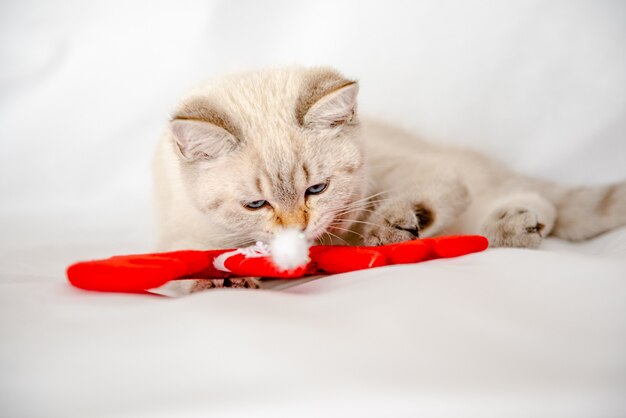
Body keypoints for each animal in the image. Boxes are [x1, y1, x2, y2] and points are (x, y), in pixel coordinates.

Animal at [154, 68, 624, 264]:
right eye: (256, 205)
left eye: (316, 189)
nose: (297, 229)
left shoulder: (413, 174)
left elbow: (423, 199)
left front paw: (391, 228)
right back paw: (518, 222)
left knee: (535, 202)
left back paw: (517, 223)